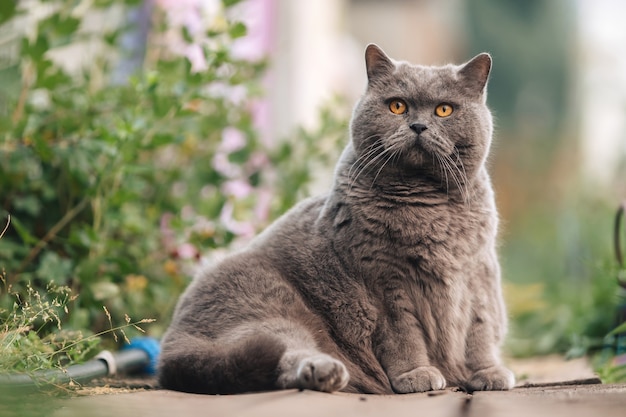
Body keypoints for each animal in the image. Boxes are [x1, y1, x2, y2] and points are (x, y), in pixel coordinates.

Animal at [158, 45, 516, 394]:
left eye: (444, 110)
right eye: (397, 106)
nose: (417, 126)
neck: (431, 208)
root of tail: (171, 343)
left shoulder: (477, 275)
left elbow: (479, 332)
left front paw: (488, 373)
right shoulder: (386, 282)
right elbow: (404, 335)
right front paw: (416, 374)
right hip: (266, 308)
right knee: (284, 355)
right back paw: (326, 372)